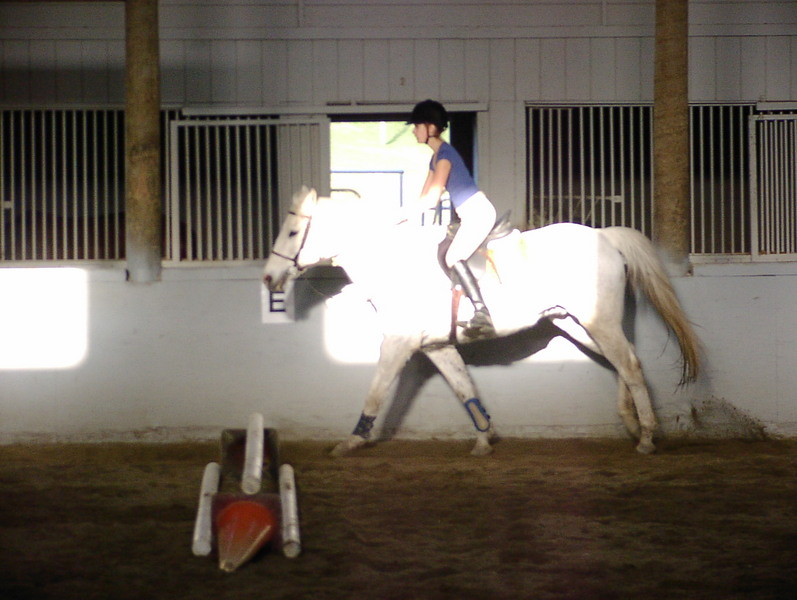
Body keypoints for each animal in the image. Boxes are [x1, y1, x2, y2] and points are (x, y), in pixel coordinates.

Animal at [263, 187, 700, 456]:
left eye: (293, 231)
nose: (269, 278)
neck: (393, 264)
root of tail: (605, 236)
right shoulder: (437, 346)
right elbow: (464, 388)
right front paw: (484, 440)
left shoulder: (398, 343)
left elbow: (375, 391)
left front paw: (351, 442)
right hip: (577, 323)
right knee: (626, 362)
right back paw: (632, 424)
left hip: (598, 321)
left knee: (629, 364)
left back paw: (646, 437)